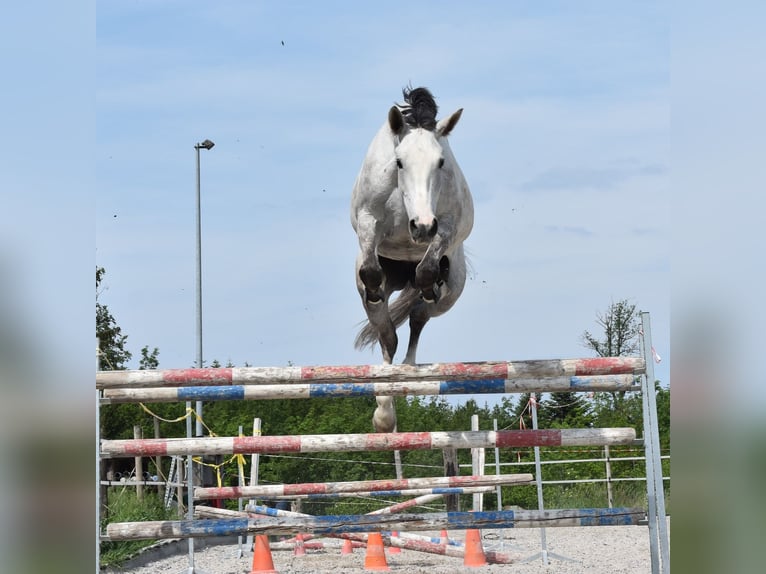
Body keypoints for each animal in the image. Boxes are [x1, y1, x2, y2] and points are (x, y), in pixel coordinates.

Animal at [352, 86, 474, 446]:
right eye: (400, 162)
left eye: (441, 162)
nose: (420, 227)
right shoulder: (366, 221)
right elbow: (370, 269)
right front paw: (375, 286)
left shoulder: (448, 225)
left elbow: (428, 268)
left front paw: (430, 282)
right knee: (387, 336)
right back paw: (384, 410)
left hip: (452, 294)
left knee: (419, 317)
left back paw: (408, 372)